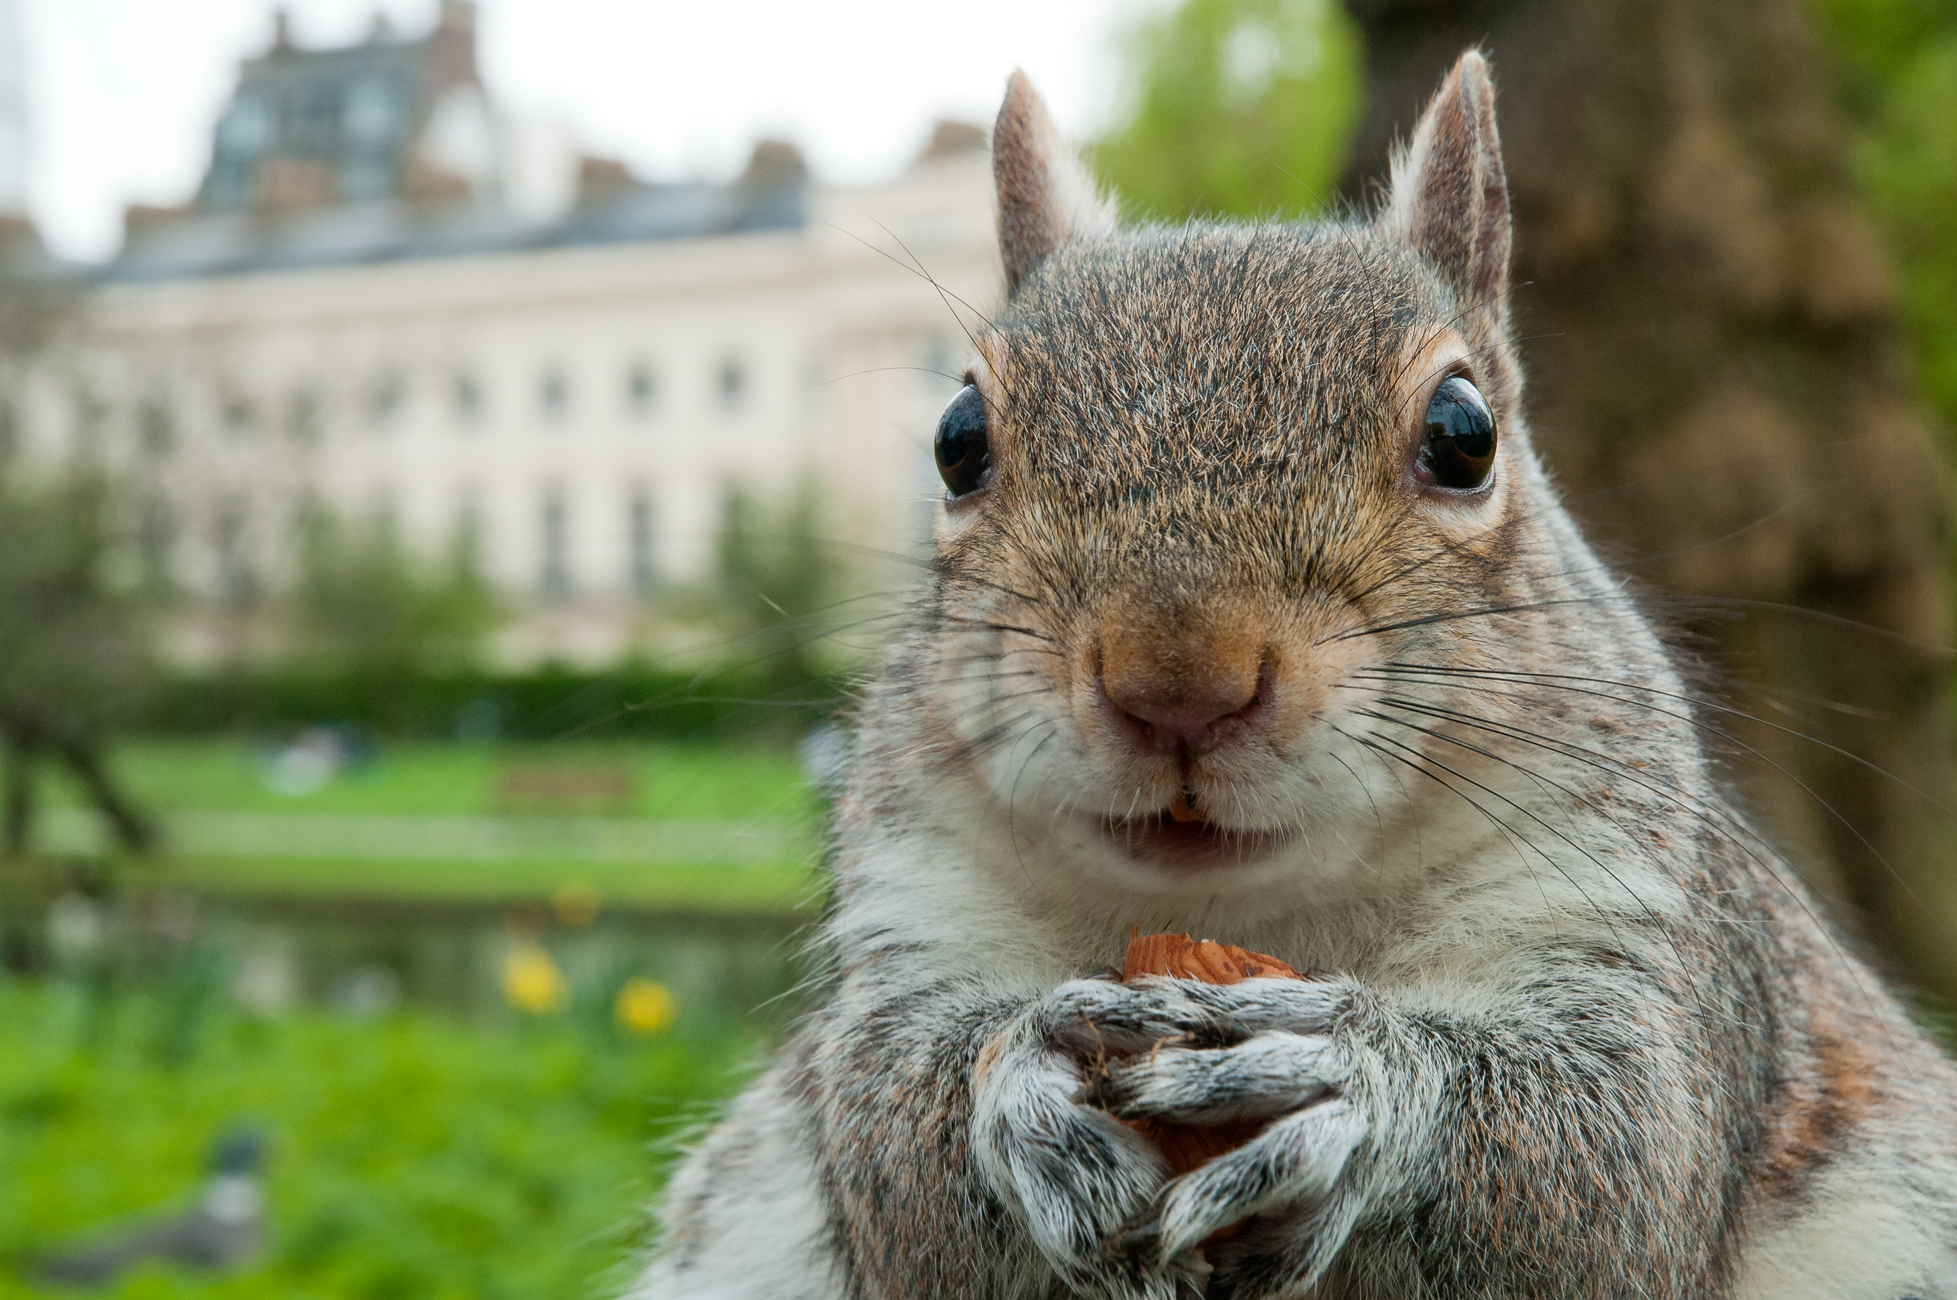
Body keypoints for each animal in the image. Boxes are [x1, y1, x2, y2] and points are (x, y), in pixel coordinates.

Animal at [637, 53, 1957, 1300]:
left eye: (1464, 436)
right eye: (957, 442)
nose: (1177, 681)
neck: (1251, 912)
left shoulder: (1631, 926)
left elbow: (1610, 1162)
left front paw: (1357, 1082)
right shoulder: (912, 911)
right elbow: (891, 1151)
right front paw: (1021, 1081)